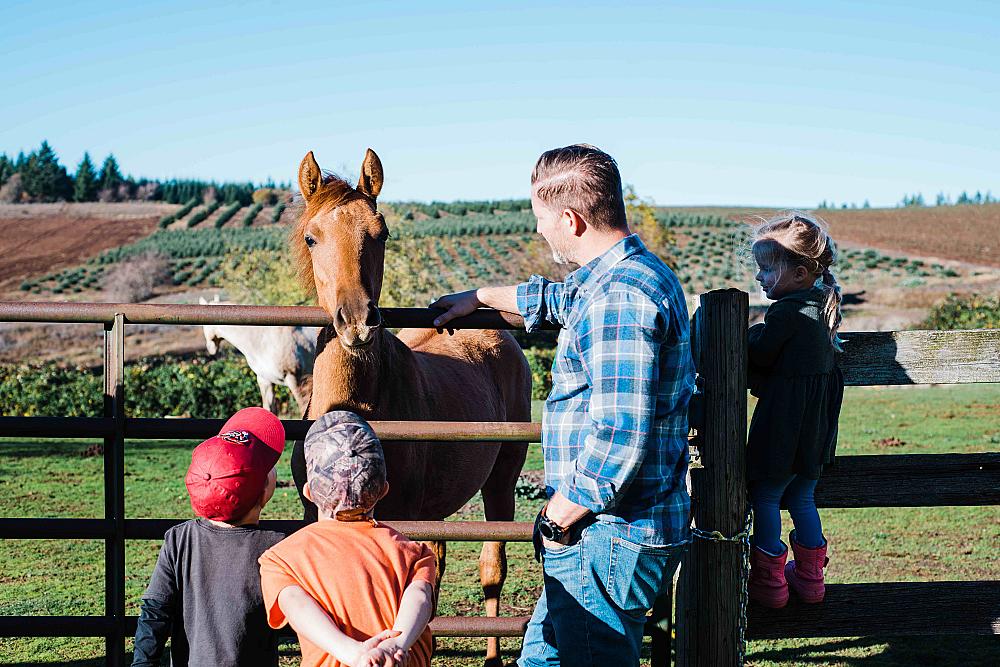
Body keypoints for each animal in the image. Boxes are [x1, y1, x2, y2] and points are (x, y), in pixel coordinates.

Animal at [289, 149, 530, 667]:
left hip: (501, 482)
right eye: (312, 237)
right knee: (437, 562)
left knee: (492, 567)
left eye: (381, 232)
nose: (357, 320)